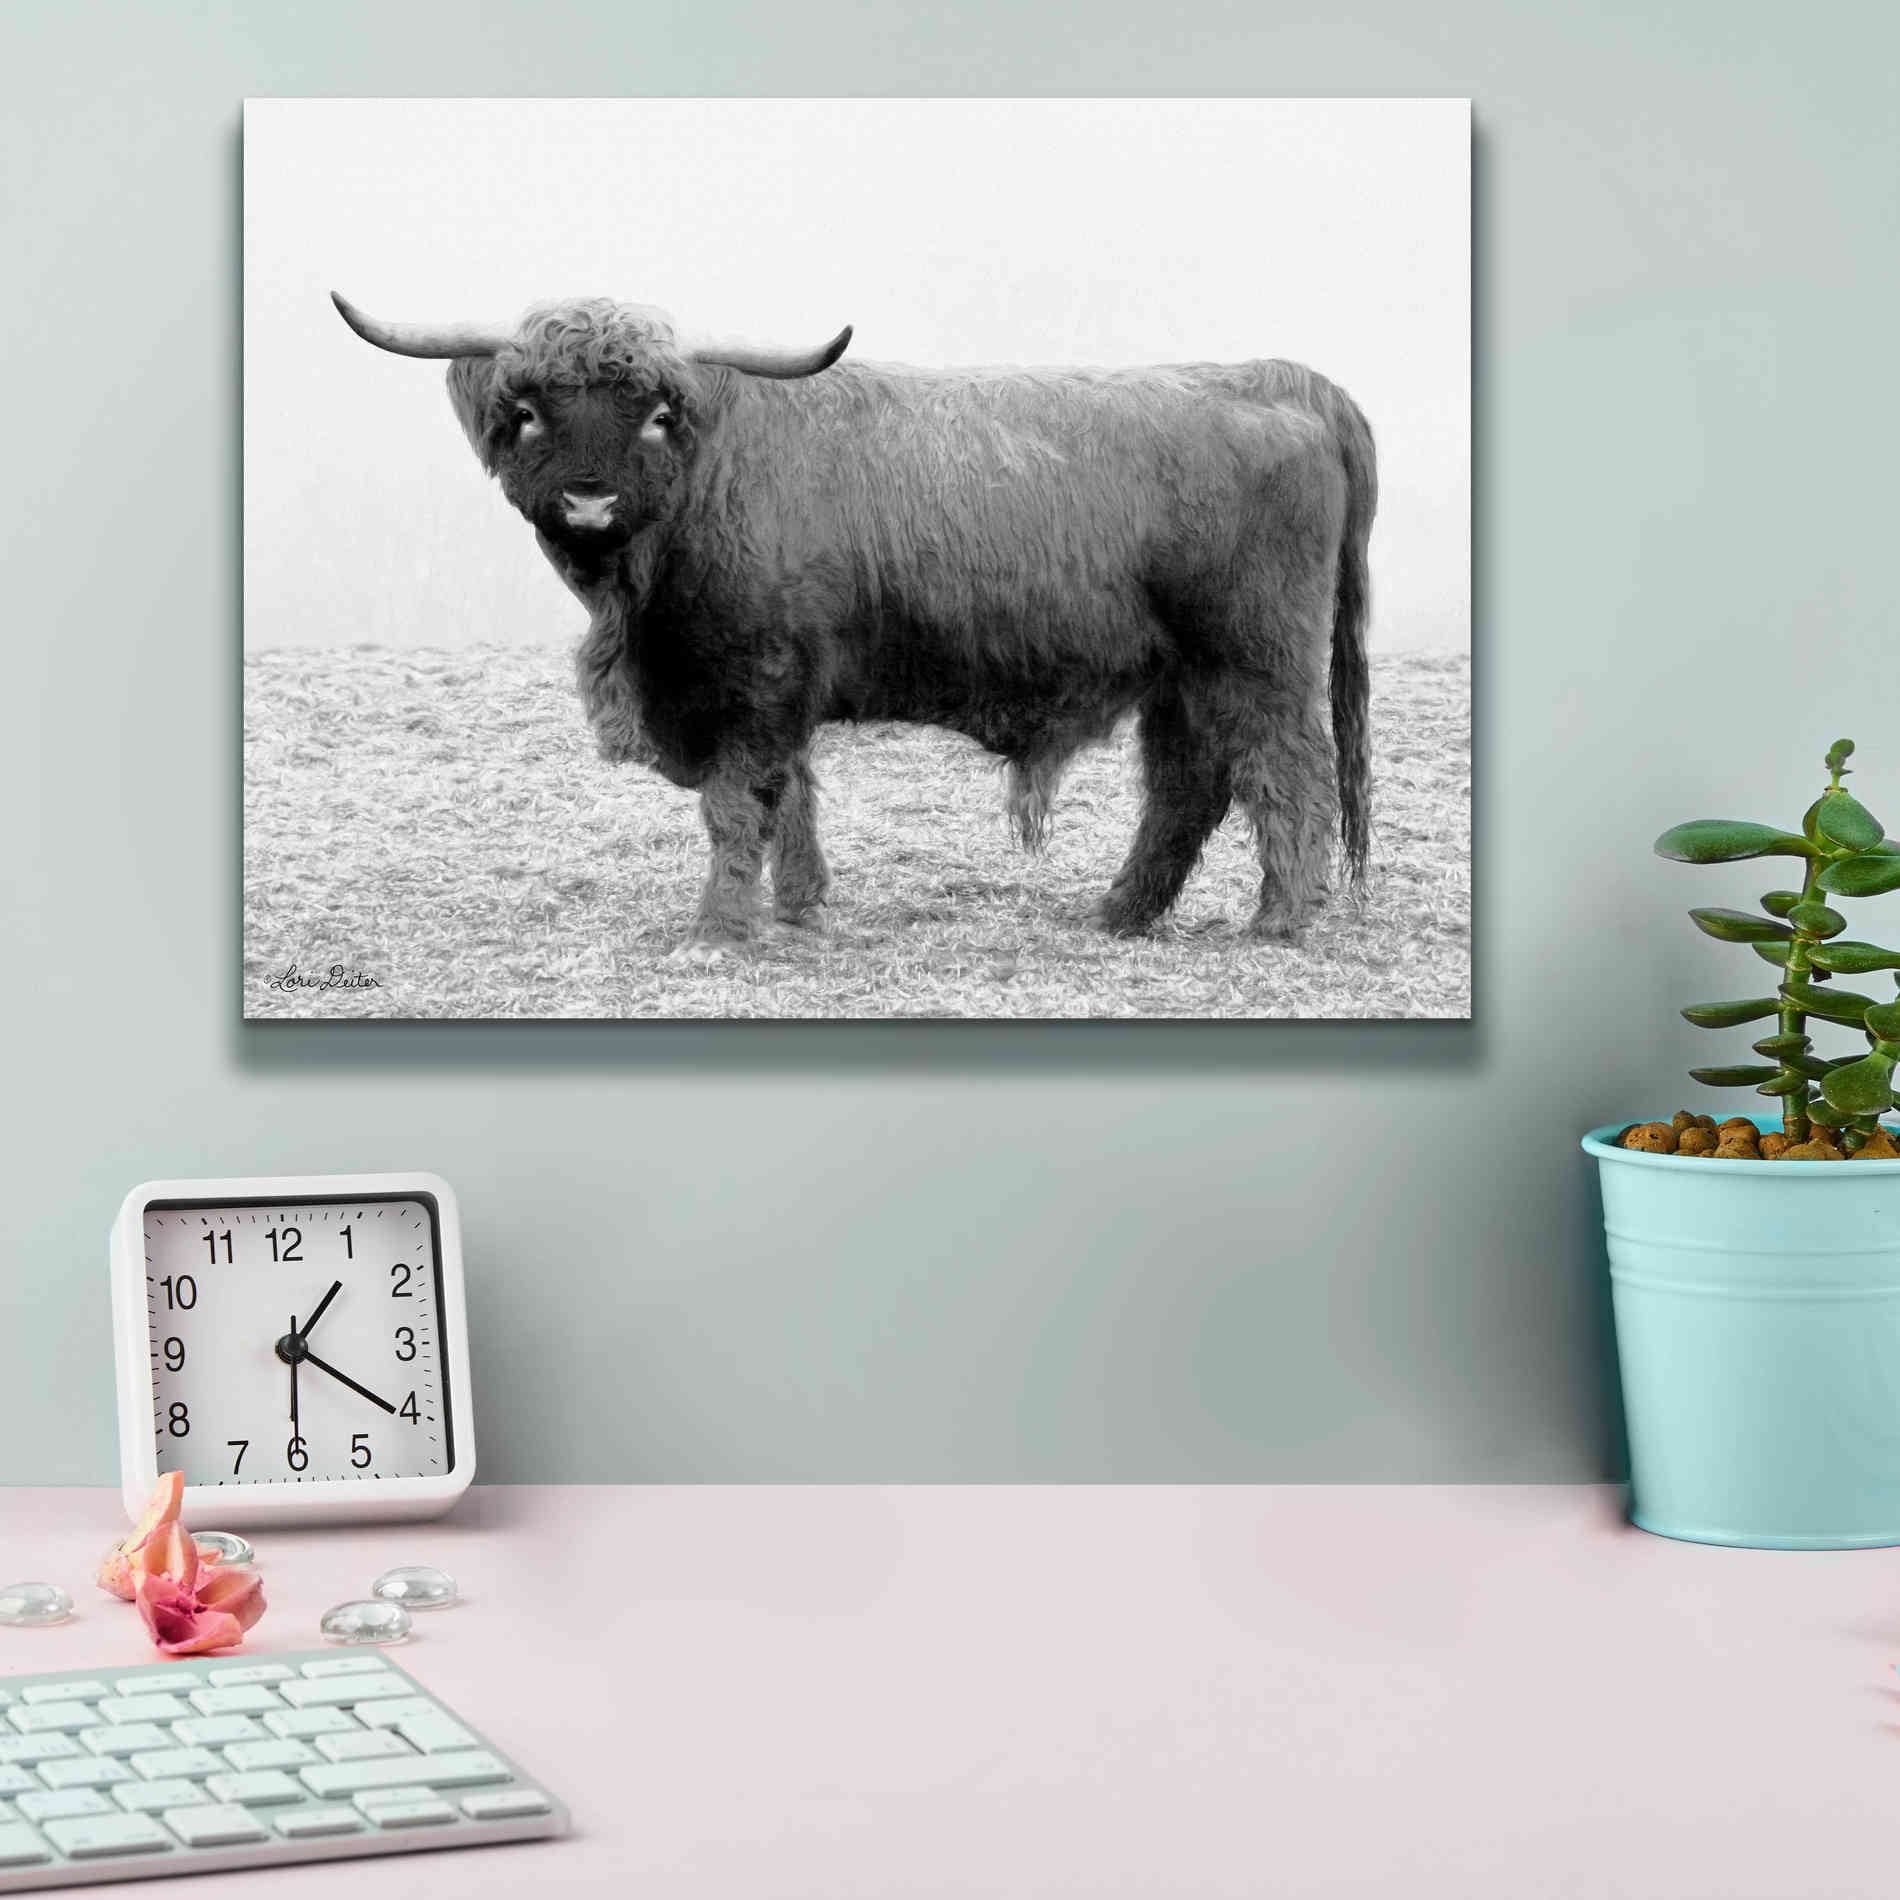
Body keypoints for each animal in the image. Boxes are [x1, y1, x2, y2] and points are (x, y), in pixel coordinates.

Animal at [332, 293, 1376, 956]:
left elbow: (738, 804)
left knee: (1289, 773)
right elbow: (792, 795)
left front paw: (722, 931)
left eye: (659, 414)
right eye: (529, 411)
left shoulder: (752, 683)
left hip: (1255, 659)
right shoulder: (782, 685)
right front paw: (799, 908)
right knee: (1187, 789)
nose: (589, 503)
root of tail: (1282, 379)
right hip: (1180, 677)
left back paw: (1279, 922)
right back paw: (1120, 914)